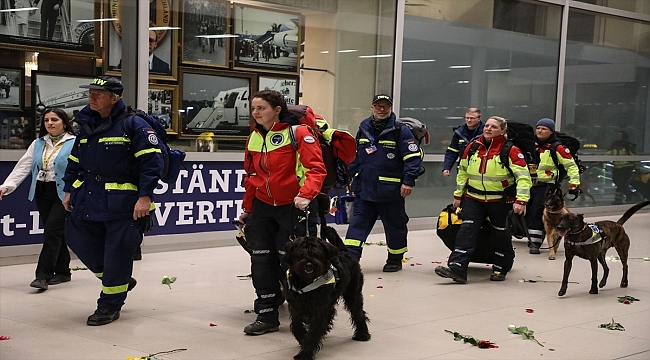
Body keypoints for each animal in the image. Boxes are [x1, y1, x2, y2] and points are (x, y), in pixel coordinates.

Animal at [282, 226, 370, 358]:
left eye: (316, 254)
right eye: (300, 254)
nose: (309, 265)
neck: (306, 283)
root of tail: (345, 251)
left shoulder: (318, 310)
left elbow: (313, 332)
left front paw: (305, 353)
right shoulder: (296, 307)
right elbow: (297, 327)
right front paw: (303, 339)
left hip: (353, 294)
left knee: (358, 312)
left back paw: (363, 334)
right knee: (332, 312)